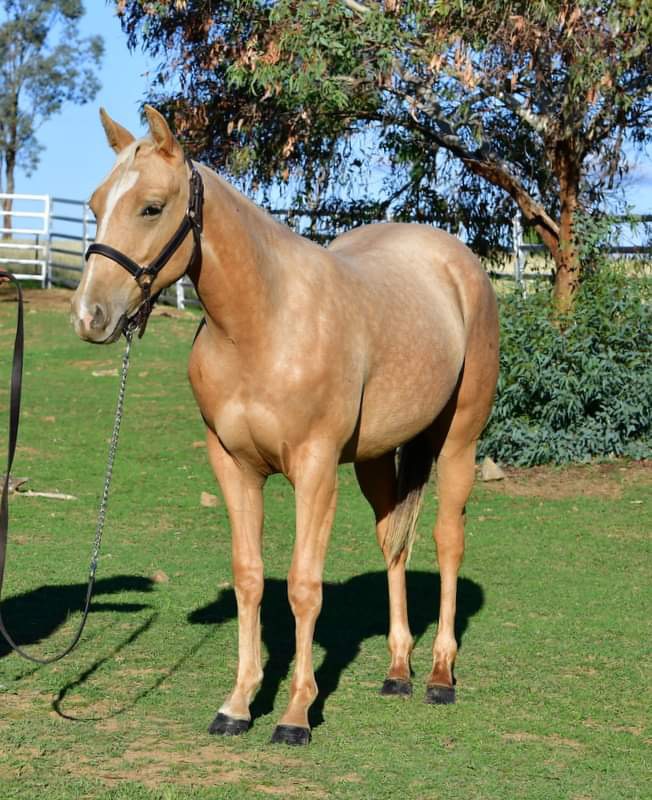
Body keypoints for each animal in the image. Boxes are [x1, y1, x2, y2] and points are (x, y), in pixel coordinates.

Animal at [70, 106, 499, 746]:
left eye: (151, 206)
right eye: (97, 204)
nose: (90, 316)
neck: (263, 324)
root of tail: (457, 261)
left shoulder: (315, 470)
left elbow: (303, 586)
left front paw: (296, 714)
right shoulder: (233, 467)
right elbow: (250, 577)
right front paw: (238, 704)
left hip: (457, 443)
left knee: (448, 541)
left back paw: (440, 675)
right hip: (376, 458)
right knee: (394, 544)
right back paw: (398, 669)